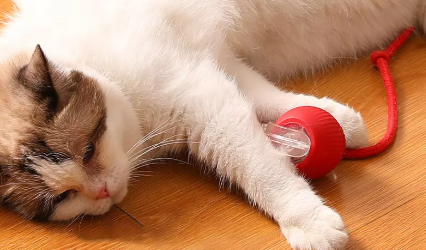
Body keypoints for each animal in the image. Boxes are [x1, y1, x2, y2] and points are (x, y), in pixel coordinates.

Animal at [0, 0, 424, 249]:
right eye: (61, 199)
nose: (102, 191)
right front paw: (338, 123)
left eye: (88, 150)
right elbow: (267, 98)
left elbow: (263, 170)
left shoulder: (207, 105)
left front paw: (307, 221)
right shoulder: (217, 71)